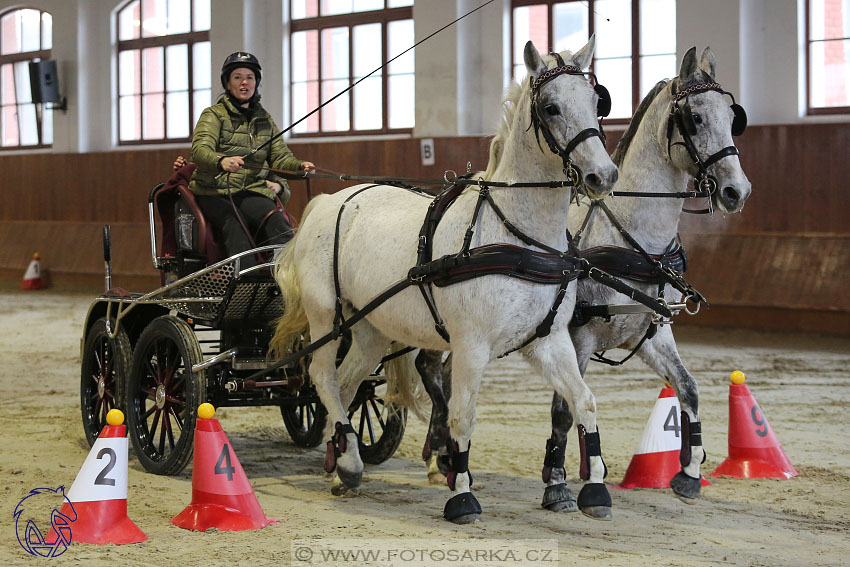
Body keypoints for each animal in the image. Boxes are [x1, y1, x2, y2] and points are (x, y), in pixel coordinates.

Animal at [272, 38, 616, 524]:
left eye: (596, 102)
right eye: (550, 107)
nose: (603, 176)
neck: (515, 234)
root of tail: (327, 201)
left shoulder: (548, 340)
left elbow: (583, 401)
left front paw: (596, 489)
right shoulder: (471, 345)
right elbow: (462, 416)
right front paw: (461, 493)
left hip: (370, 328)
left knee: (346, 383)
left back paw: (345, 464)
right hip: (327, 319)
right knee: (322, 376)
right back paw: (349, 462)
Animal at [410, 46, 748, 512]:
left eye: (732, 116)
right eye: (695, 118)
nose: (737, 191)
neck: (629, 237)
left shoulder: (652, 333)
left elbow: (688, 388)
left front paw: (690, 472)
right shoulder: (578, 337)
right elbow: (564, 411)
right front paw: (558, 483)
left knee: (439, 371)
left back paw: (442, 456)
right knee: (430, 368)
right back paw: (440, 455)